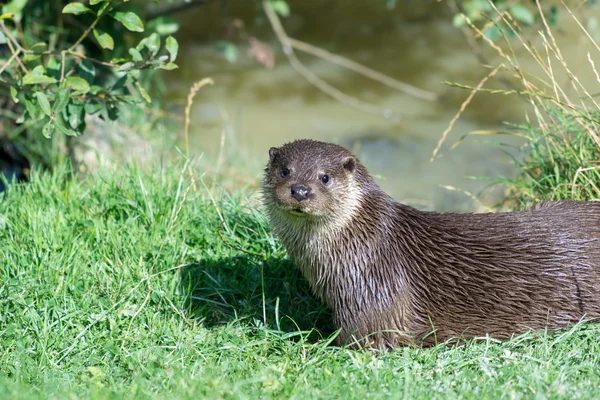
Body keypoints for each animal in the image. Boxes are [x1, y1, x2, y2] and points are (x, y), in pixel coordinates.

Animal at [262, 139, 600, 348]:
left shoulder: (374, 291)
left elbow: (363, 338)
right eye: (285, 170)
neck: (364, 242)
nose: (300, 190)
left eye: (324, 177)